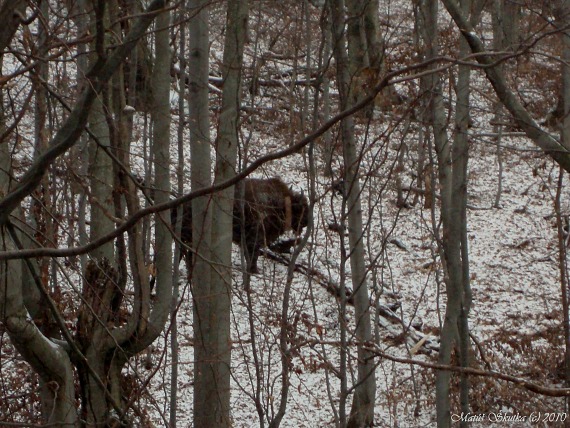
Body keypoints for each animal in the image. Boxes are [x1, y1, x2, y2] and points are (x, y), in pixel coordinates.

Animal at [171, 178, 308, 274]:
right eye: (301, 209)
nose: (306, 222)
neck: (279, 204)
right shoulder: (254, 238)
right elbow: (254, 255)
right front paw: (254, 270)